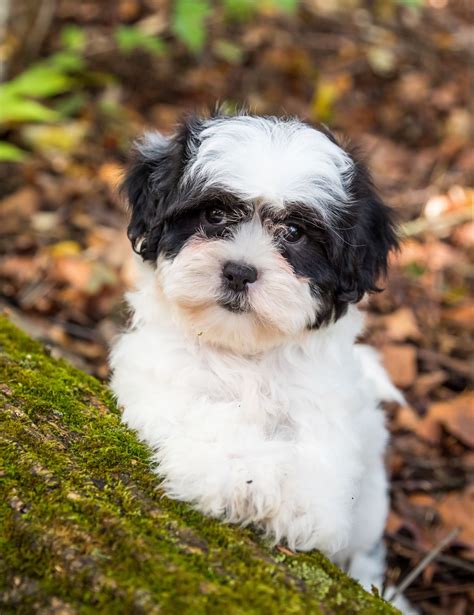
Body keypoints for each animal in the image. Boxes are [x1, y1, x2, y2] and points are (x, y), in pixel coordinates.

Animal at [110, 113, 404, 600]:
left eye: (295, 233)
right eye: (213, 214)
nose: (239, 271)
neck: (245, 350)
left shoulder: (323, 399)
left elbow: (321, 449)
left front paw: (301, 505)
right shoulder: (164, 377)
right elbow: (209, 418)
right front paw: (243, 478)